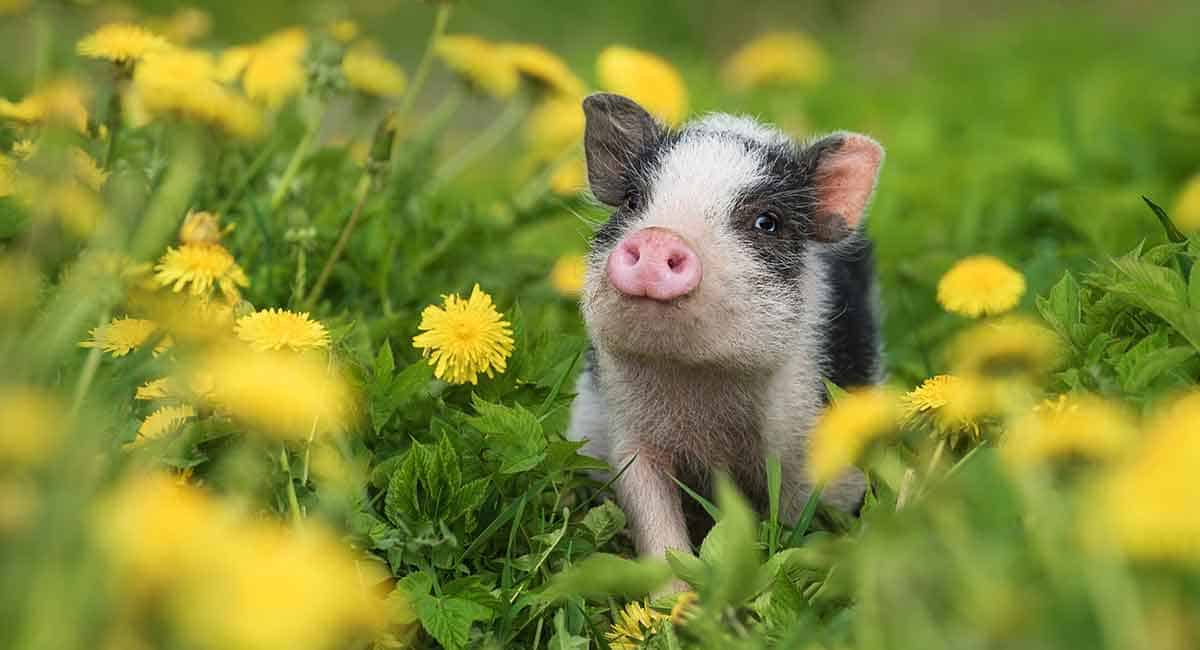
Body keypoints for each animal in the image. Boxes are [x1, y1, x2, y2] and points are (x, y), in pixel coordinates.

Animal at [566, 93, 884, 560]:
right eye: (632, 201)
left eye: (767, 222)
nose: (658, 237)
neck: (700, 381)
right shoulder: (628, 427)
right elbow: (651, 511)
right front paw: (673, 584)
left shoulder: (805, 424)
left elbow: (798, 516)